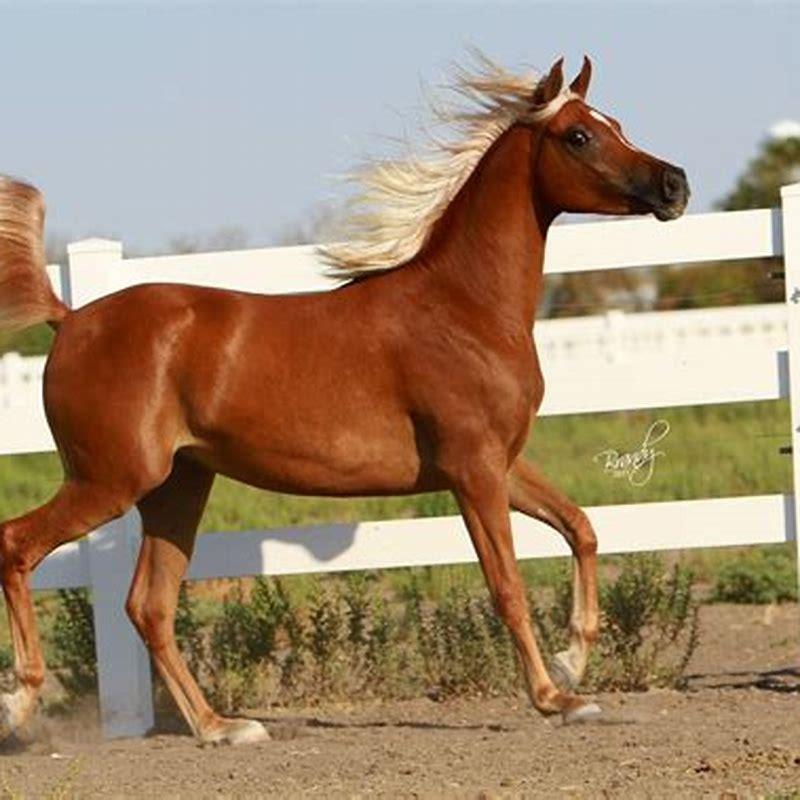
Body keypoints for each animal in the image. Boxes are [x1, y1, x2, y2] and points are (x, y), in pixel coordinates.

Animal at [0, 54, 688, 744]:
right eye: (579, 135)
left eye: (616, 122)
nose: (675, 184)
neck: (463, 309)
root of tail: (71, 319)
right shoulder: (474, 471)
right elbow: (508, 587)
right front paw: (552, 696)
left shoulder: (501, 463)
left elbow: (582, 527)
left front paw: (574, 665)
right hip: (109, 481)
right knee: (17, 545)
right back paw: (21, 703)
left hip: (176, 487)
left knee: (148, 606)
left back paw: (223, 726)